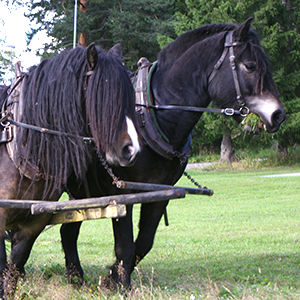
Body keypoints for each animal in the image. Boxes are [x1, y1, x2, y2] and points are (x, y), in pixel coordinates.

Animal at [60, 17, 284, 290]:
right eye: (250, 66)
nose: (278, 115)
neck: (150, 115)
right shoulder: (122, 191)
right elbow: (125, 245)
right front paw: (120, 284)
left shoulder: (160, 192)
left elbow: (143, 243)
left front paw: (113, 277)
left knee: (68, 230)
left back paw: (75, 277)